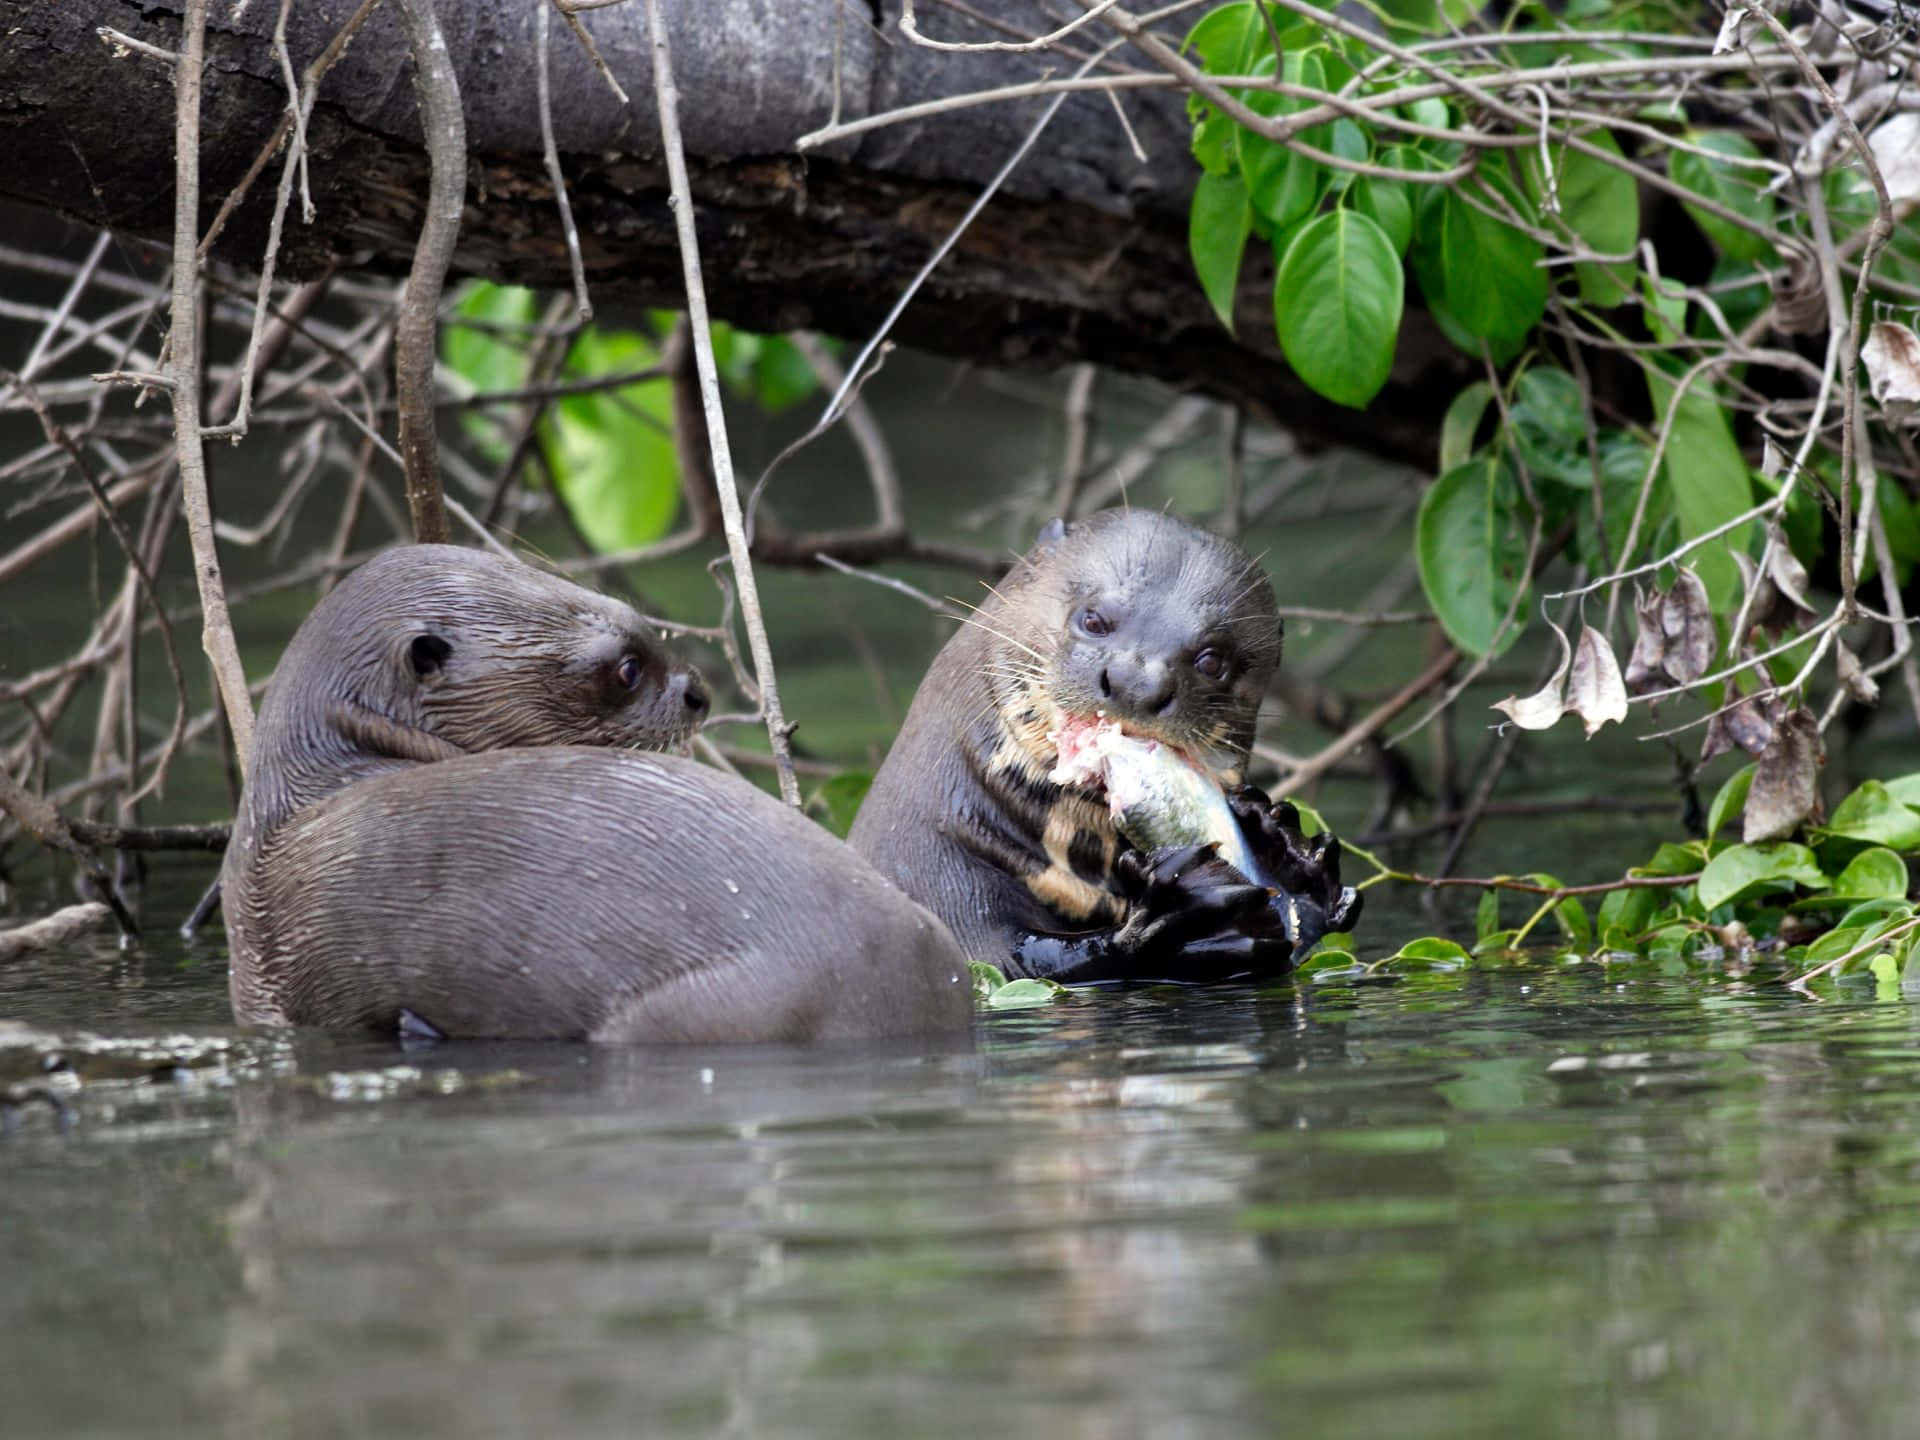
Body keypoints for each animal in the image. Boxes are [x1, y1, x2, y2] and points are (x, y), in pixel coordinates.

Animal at [848, 503, 1359, 990]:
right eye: (1094, 619)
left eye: (1213, 660)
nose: (1138, 682)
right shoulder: (954, 906)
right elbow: (1018, 964)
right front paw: (1176, 921)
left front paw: (1288, 850)